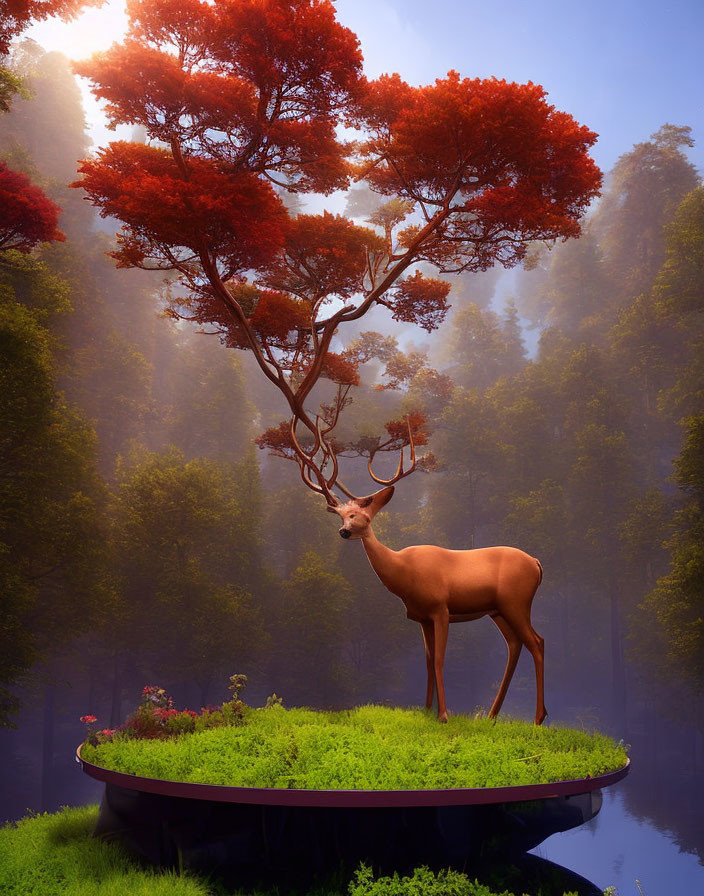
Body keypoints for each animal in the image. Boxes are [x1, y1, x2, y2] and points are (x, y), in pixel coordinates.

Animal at [288, 412, 548, 728]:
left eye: (361, 517)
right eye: (341, 516)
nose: (343, 531)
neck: (404, 574)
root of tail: (537, 563)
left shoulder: (440, 608)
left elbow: (439, 659)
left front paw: (444, 714)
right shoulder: (422, 617)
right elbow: (426, 660)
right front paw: (426, 710)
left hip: (516, 601)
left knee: (537, 642)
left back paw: (538, 719)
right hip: (498, 610)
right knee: (515, 644)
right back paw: (491, 715)